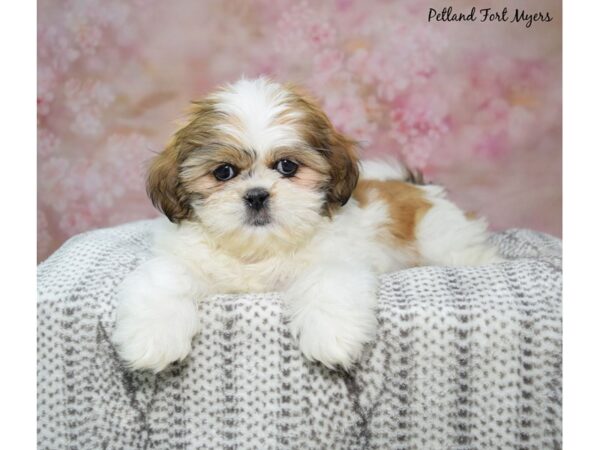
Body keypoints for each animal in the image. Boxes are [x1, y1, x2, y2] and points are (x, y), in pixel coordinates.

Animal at [113, 78, 502, 372]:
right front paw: (153, 338)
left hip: (442, 238)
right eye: (223, 172)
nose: (257, 196)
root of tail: (415, 186)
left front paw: (332, 336)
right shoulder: (179, 257)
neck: (258, 249)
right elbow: (164, 277)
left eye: (288, 166)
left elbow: (327, 280)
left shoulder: (338, 258)